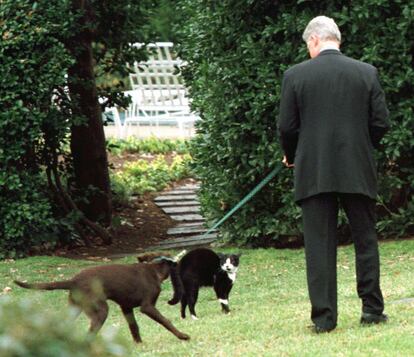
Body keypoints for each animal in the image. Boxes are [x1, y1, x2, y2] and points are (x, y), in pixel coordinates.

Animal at [13, 254, 189, 340]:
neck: (155, 269)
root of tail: (74, 281)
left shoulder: (126, 308)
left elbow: (134, 328)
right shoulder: (147, 307)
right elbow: (166, 321)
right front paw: (182, 336)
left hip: (74, 308)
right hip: (100, 310)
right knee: (89, 334)